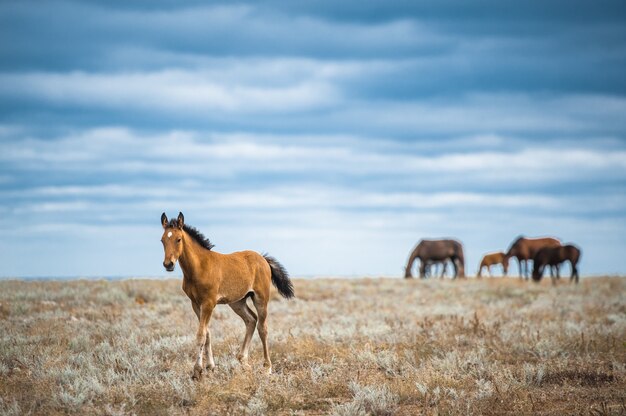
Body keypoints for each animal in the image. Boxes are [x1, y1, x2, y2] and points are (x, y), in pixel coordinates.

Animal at [157, 213, 292, 378]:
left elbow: (201, 335)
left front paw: (197, 371)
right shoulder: (195, 304)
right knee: (251, 320)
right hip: (237, 302)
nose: (168, 264)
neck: (199, 267)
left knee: (262, 327)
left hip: (261, 298)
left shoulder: (208, 303)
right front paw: (210, 367)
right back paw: (243, 361)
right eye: (162, 240)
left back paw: (267, 367)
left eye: (178, 239)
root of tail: (263, 258)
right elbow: (207, 334)